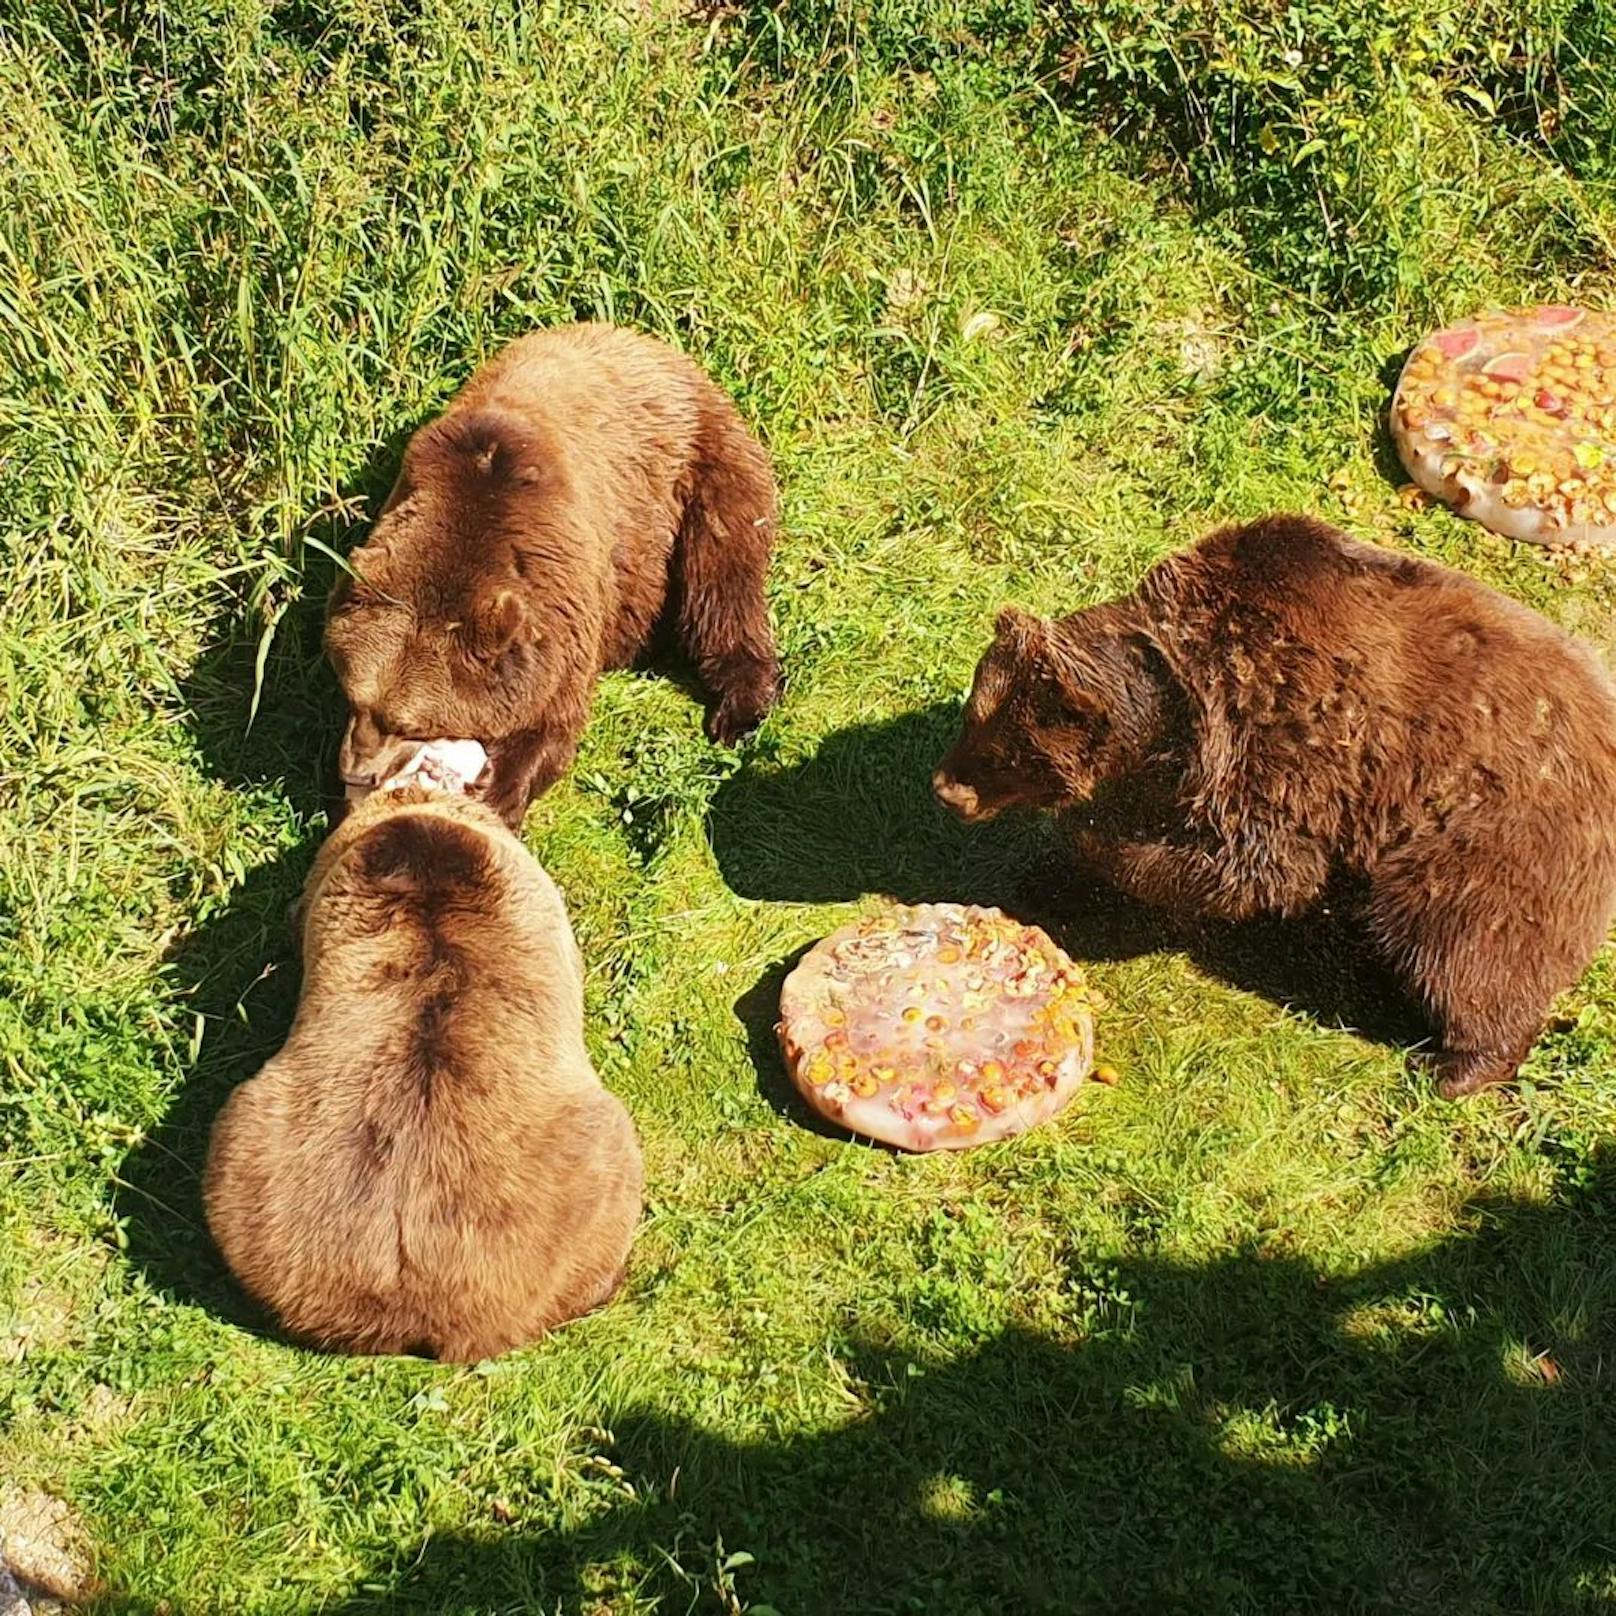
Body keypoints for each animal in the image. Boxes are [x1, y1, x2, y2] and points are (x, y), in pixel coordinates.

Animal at [324, 321, 778, 827]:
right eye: (353, 693)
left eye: (410, 723)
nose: (356, 769)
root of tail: (647, 342)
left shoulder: (564, 593)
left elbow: (552, 720)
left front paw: (496, 789)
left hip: (696, 472)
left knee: (722, 576)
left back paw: (739, 703)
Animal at [930, 517, 1616, 1098]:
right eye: (973, 717)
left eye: (1002, 752)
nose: (946, 788)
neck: (1177, 706)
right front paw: (1050, 878)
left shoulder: (1283, 741)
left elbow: (1259, 870)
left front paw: (1090, 842)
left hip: (1490, 836)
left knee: (1467, 945)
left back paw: (1454, 1064)